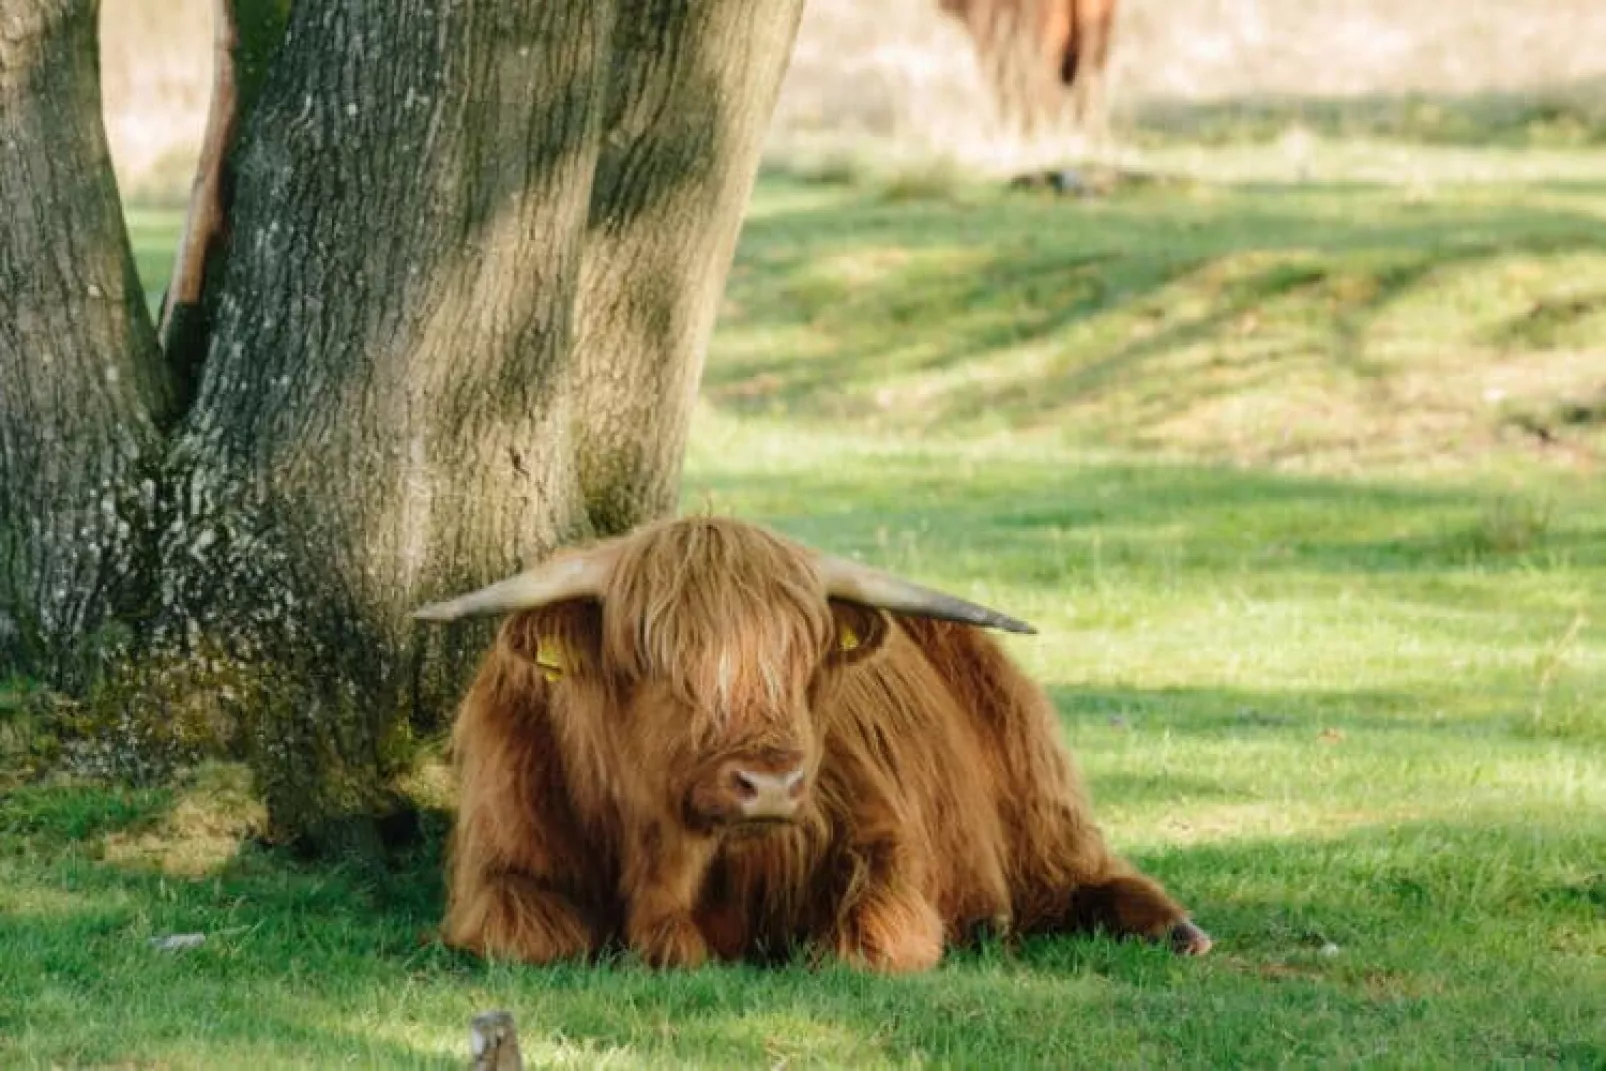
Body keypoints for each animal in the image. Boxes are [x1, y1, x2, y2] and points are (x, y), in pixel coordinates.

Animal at [414, 513, 1207, 976]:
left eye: (801, 660)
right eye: (655, 660)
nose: (769, 784)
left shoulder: (878, 837)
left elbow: (869, 942)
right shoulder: (501, 866)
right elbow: (534, 935)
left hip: (1035, 786)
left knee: (1083, 870)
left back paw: (1176, 930)